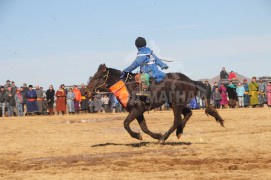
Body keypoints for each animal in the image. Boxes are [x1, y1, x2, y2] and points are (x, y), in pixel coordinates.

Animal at [87, 64, 225, 143]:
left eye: (97, 77)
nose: (87, 92)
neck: (127, 87)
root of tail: (191, 81)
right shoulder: (139, 112)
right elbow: (144, 127)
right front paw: (156, 136)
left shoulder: (137, 109)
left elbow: (126, 123)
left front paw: (138, 136)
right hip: (175, 103)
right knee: (188, 114)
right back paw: (178, 132)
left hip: (176, 104)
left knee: (177, 120)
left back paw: (164, 138)